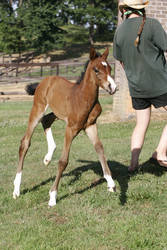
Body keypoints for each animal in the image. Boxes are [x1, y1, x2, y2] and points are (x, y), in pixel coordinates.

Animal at [13, 47, 117, 207]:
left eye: (110, 68)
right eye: (96, 69)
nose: (113, 87)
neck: (83, 98)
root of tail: (45, 80)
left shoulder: (90, 125)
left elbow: (99, 148)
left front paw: (111, 183)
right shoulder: (71, 129)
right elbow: (63, 161)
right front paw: (52, 196)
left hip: (58, 113)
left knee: (46, 120)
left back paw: (48, 157)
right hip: (38, 109)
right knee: (25, 142)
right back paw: (16, 189)